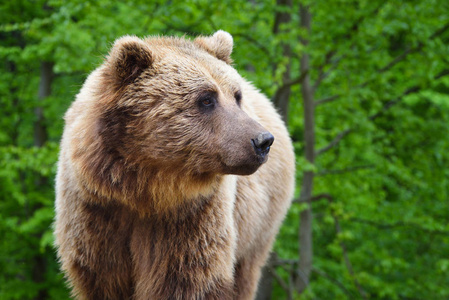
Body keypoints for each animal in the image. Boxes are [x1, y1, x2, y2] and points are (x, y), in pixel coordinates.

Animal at [55, 31, 294, 300]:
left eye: (236, 95)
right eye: (207, 98)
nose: (263, 140)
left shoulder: (189, 216)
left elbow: (185, 278)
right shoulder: (96, 212)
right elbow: (104, 278)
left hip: (258, 227)